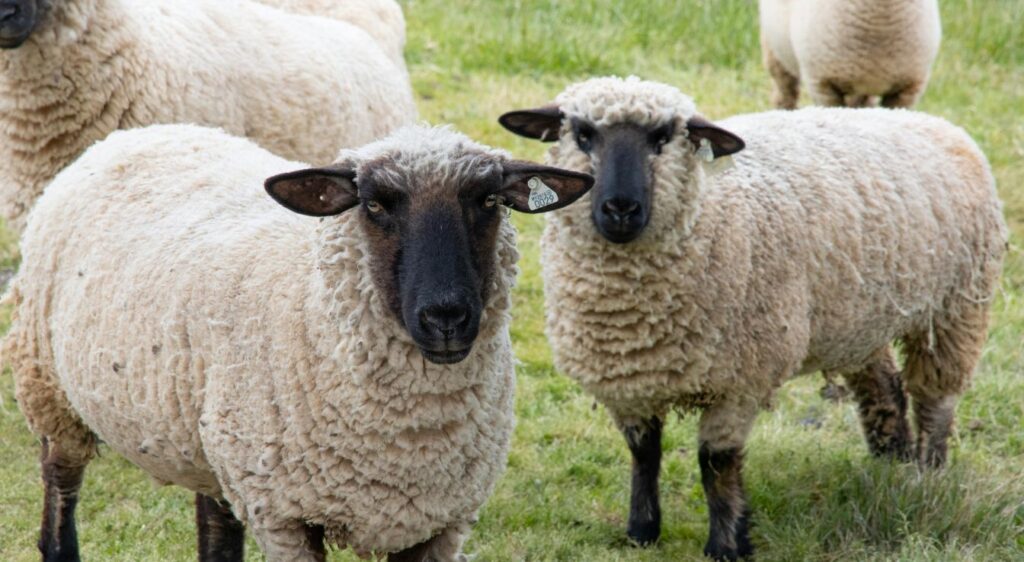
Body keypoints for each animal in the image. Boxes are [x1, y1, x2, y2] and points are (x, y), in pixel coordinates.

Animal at [2, 123, 593, 561]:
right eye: (374, 205)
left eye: (489, 200)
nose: (445, 317)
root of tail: (142, 131)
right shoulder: (284, 516)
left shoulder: (437, 522)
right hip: (48, 385)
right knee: (60, 486)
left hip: (214, 441)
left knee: (215, 525)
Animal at [499, 76, 1006, 560]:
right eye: (583, 134)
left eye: (663, 137)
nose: (620, 209)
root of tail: (932, 121)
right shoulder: (627, 377)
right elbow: (644, 453)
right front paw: (641, 532)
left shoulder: (741, 379)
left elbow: (716, 464)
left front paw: (727, 544)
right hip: (859, 320)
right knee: (886, 388)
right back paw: (891, 464)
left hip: (957, 306)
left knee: (936, 399)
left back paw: (928, 473)